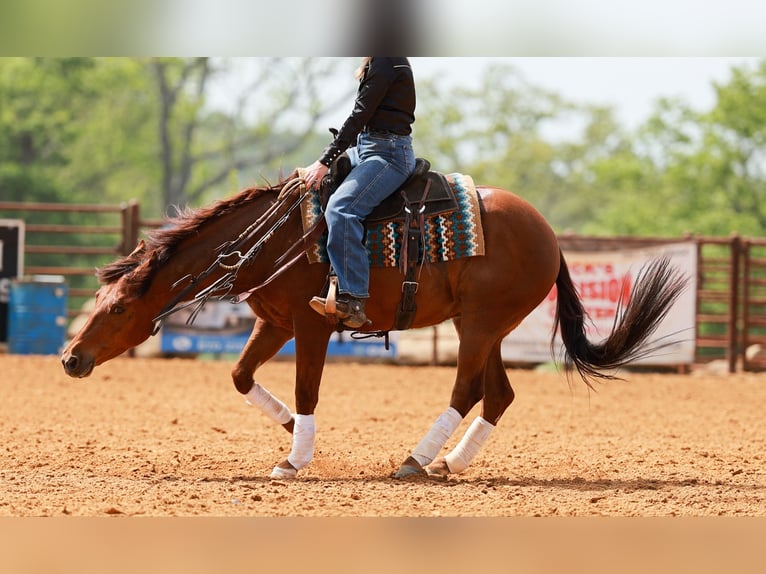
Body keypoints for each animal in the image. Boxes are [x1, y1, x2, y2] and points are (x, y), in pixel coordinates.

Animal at [61, 170, 687, 480]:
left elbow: (306, 388)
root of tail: (549, 235)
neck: (276, 240)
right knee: (498, 394)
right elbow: (241, 376)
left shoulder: (310, 326)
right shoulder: (275, 323)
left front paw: (295, 459)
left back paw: (415, 460)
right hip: (484, 325)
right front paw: (289, 431)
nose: (71, 358)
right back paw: (450, 462)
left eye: (118, 309)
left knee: (465, 388)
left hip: (481, 325)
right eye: (97, 297)